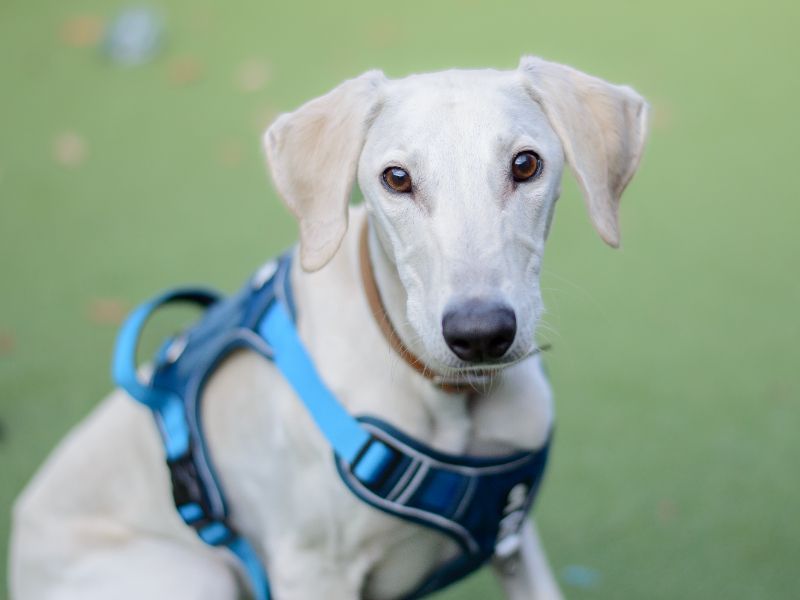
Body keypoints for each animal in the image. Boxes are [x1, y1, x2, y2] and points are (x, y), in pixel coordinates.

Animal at [9, 56, 649, 599]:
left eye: (525, 164)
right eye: (396, 178)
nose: (480, 334)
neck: (447, 398)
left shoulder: (513, 538)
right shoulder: (311, 570)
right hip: (193, 575)